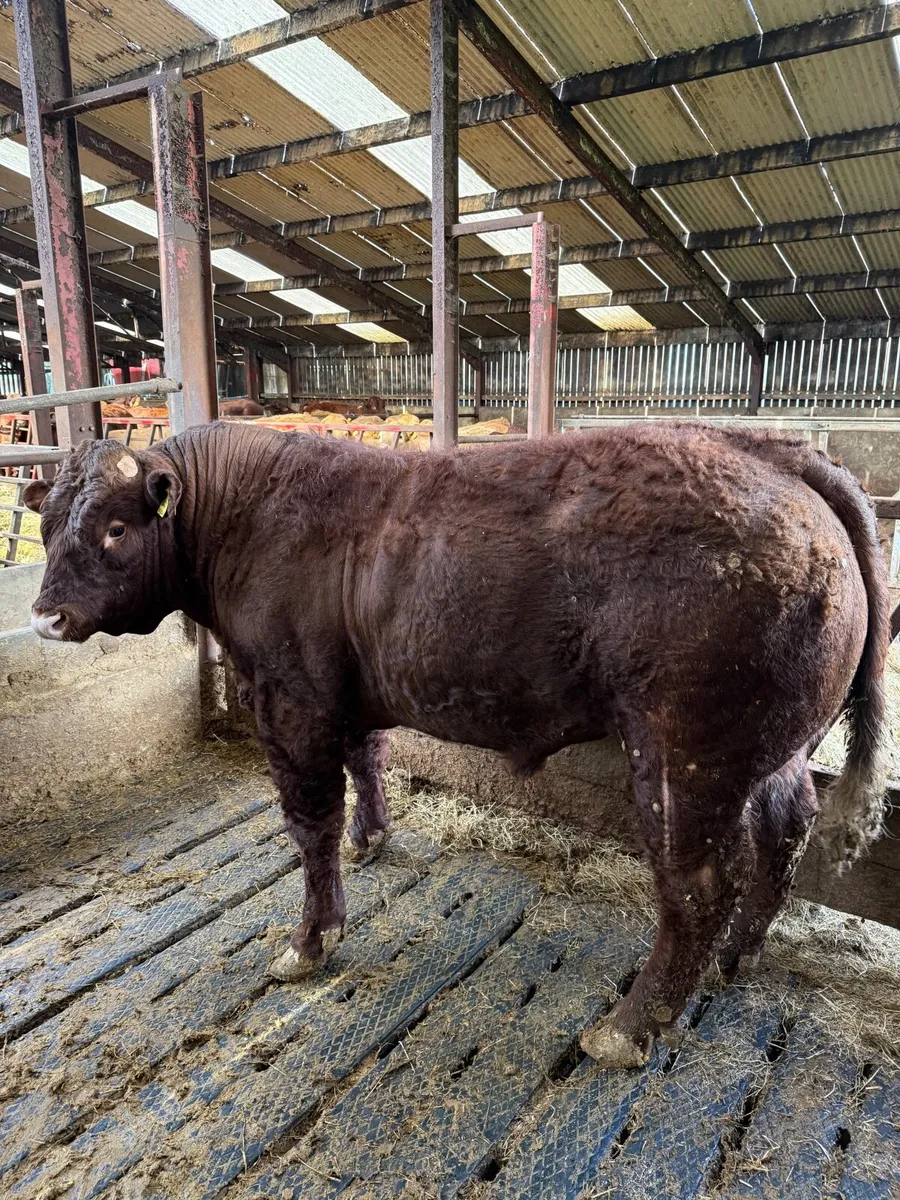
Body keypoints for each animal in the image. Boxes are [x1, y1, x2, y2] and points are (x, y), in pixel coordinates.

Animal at [24, 421, 888, 1069]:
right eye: (45, 523)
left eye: (114, 527)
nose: (44, 617)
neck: (245, 511)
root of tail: (771, 451)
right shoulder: (349, 693)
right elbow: (368, 760)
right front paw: (374, 837)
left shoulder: (290, 702)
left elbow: (311, 826)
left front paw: (311, 940)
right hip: (770, 753)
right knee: (785, 829)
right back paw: (740, 955)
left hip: (682, 759)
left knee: (699, 887)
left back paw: (627, 1027)